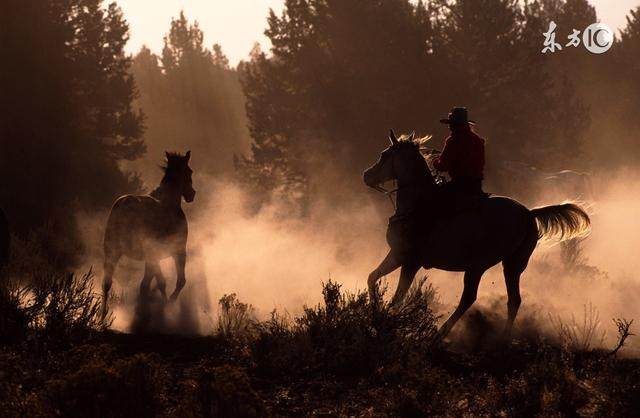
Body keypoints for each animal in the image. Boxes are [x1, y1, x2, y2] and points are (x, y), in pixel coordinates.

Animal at [101, 152, 196, 318]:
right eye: (189, 171)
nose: (192, 194)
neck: (169, 202)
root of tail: (123, 207)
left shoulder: (152, 258)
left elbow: (150, 283)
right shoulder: (178, 251)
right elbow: (179, 281)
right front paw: (168, 304)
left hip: (113, 251)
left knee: (107, 283)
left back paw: (102, 315)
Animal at [362, 132, 592, 338]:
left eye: (384, 154)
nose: (367, 175)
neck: (417, 204)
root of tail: (529, 213)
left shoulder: (409, 260)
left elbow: (397, 296)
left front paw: (382, 321)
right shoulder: (398, 256)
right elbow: (372, 277)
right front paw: (375, 314)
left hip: (478, 266)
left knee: (469, 298)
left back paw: (440, 335)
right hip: (512, 265)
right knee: (512, 300)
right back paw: (501, 340)